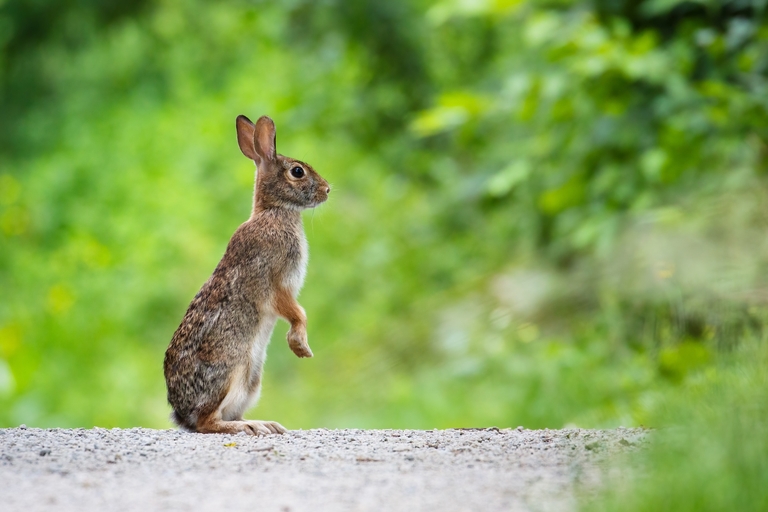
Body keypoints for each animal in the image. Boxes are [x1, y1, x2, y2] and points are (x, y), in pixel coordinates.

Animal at [163, 115, 330, 435]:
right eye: (297, 171)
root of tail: (181, 412)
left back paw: (265, 424)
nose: (328, 189)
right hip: (232, 371)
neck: (274, 211)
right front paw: (300, 347)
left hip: (252, 379)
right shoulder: (276, 283)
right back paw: (250, 427)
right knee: (207, 422)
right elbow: (296, 313)